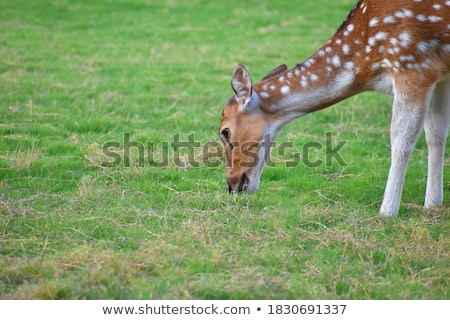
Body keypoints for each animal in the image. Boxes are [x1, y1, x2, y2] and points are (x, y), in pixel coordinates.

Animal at [219, 0, 450, 216]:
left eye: (225, 131)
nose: (231, 184)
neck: (368, 64)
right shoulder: (439, 77)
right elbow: (436, 133)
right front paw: (432, 204)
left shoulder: (412, 65)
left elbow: (401, 139)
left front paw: (387, 212)